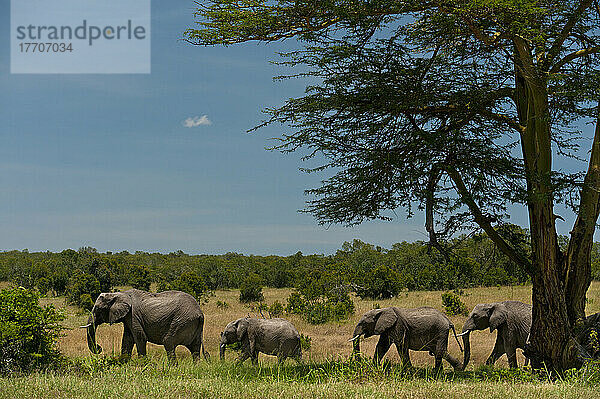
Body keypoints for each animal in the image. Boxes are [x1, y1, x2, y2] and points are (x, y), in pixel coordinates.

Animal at [81, 290, 209, 364]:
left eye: (98, 309)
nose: (99, 348)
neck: (119, 294)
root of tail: (200, 313)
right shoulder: (128, 317)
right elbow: (127, 339)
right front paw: (123, 363)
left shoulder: (133, 315)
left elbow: (140, 337)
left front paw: (142, 364)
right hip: (193, 325)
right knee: (195, 348)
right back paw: (196, 367)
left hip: (181, 321)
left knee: (168, 342)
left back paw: (172, 367)